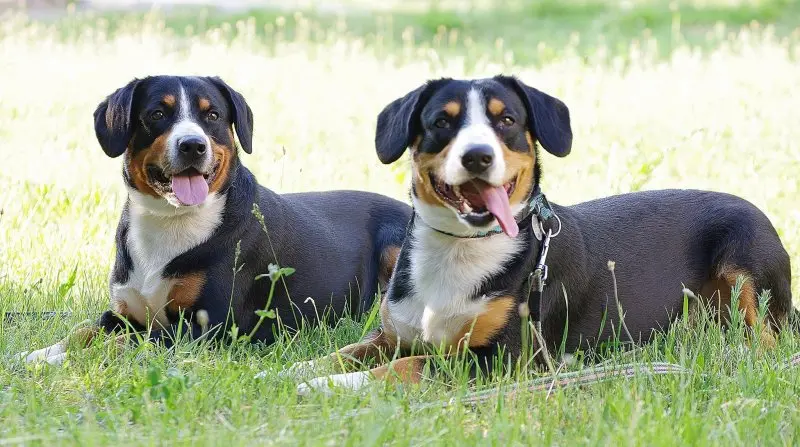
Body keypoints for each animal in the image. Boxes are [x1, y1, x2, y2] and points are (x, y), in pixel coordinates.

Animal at [21, 76, 412, 364]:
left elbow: (125, 343)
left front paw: (64, 359)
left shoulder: (207, 328)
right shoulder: (124, 313)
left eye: (212, 116)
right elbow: (84, 330)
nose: (193, 145)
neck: (171, 221)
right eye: (157, 114)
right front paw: (40, 352)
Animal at [292, 75, 792, 394]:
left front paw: (330, 384)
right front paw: (299, 367)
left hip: (748, 261)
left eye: (507, 120)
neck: (459, 250)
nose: (477, 156)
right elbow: (350, 349)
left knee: (770, 343)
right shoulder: (394, 332)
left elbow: (407, 365)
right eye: (441, 121)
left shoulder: (500, 359)